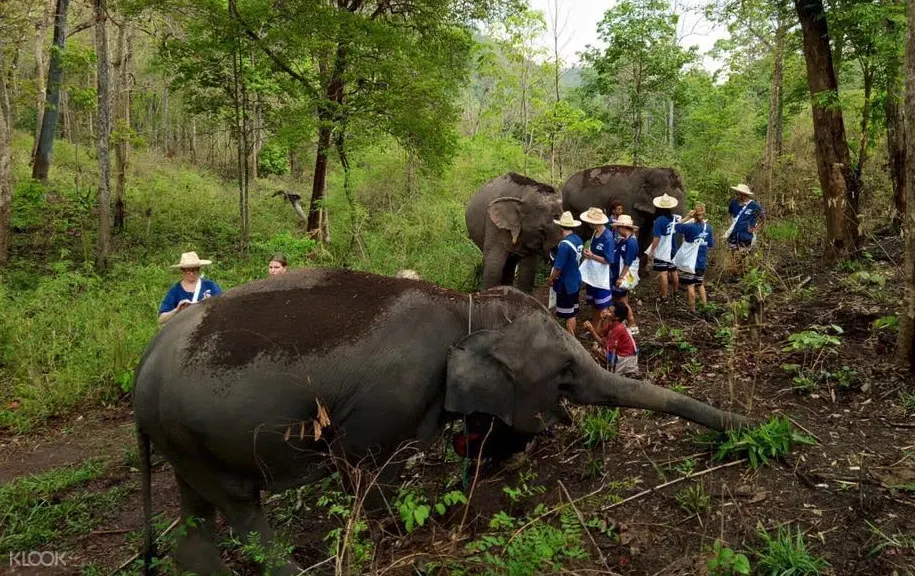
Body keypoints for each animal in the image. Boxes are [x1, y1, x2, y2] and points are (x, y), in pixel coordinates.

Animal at [133, 267, 749, 575]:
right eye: (565, 372)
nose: (752, 429)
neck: (466, 304)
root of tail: (144, 365)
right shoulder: (390, 396)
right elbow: (364, 471)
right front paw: (407, 532)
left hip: (183, 441)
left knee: (198, 511)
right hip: (193, 432)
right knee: (242, 510)